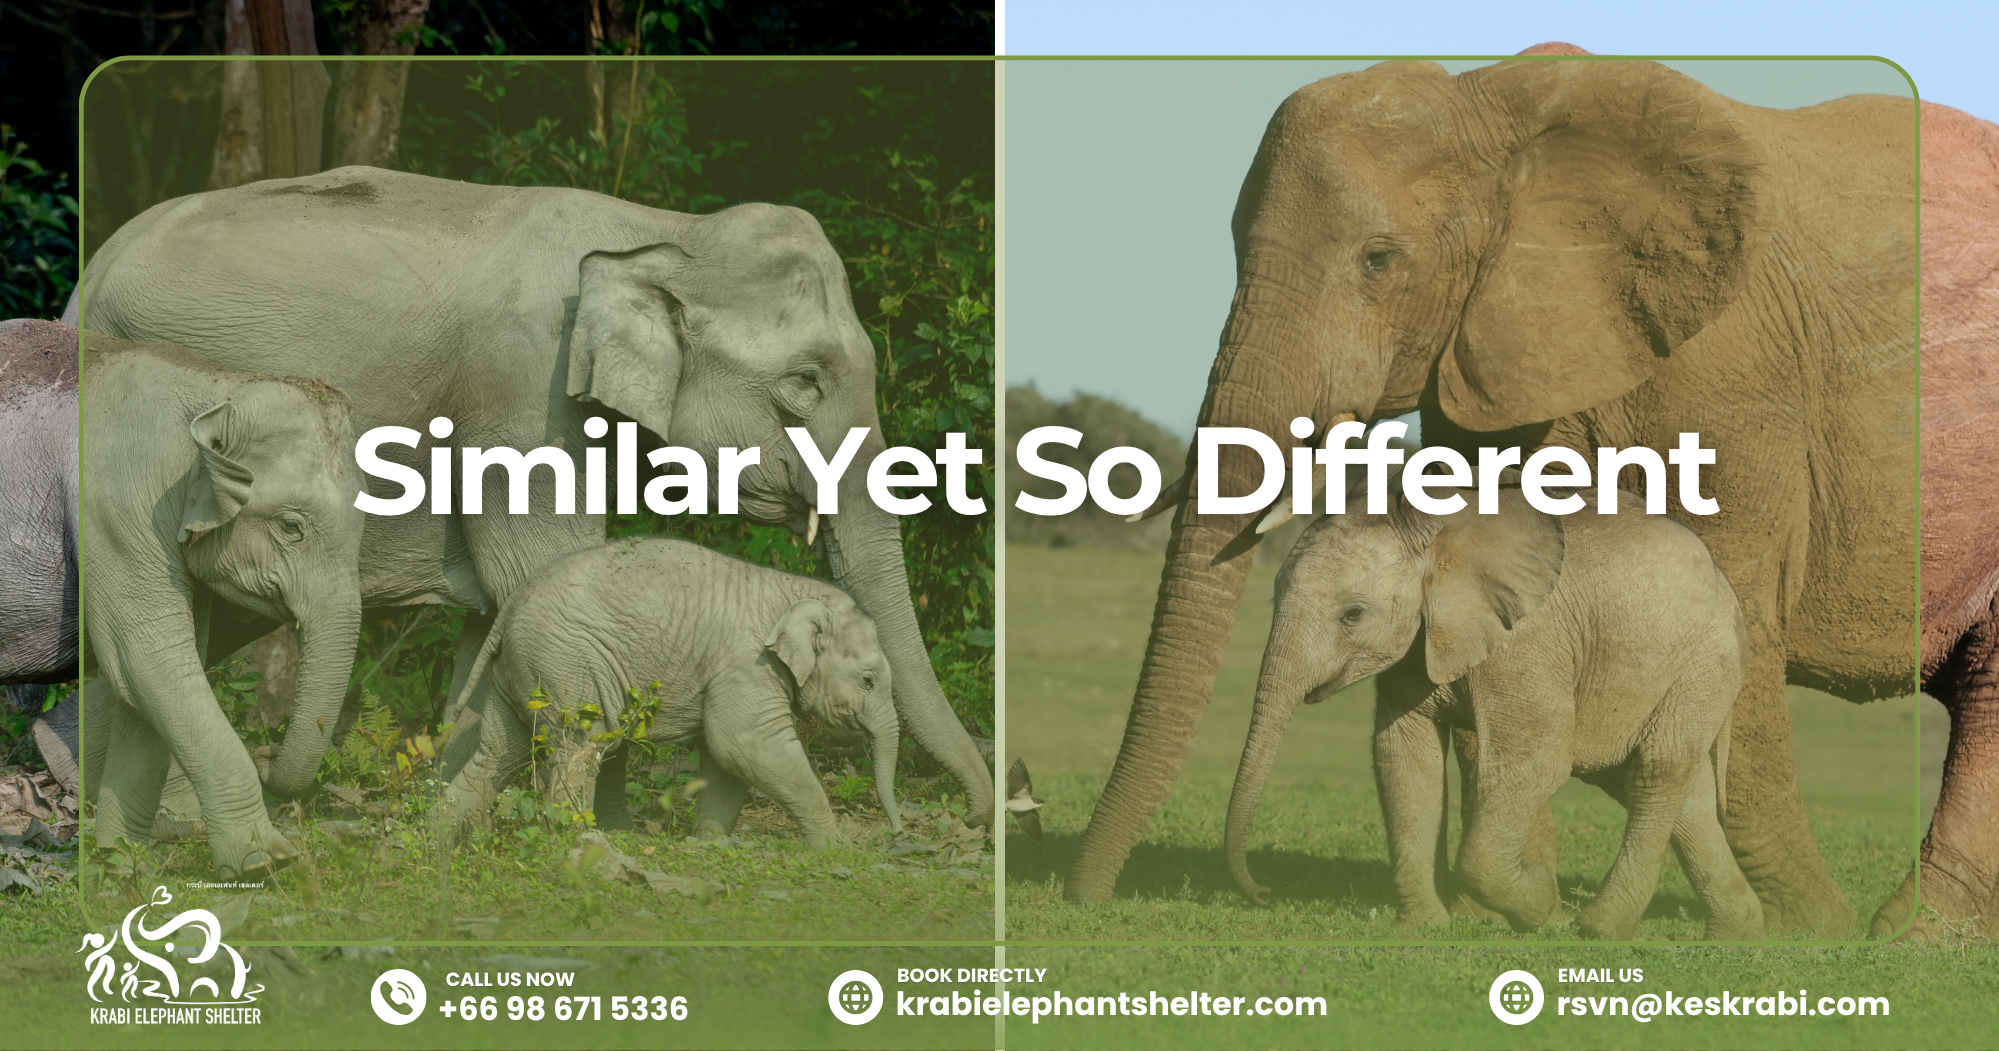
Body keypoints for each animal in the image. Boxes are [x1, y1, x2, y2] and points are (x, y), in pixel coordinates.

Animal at [83, 334, 365, 879]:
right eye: (292, 528)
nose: (266, 748)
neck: (217, 387)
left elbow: (146, 686)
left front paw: (124, 868)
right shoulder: (115, 519)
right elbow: (151, 662)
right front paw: (265, 860)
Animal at [438, 537, 902, 847]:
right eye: (868, 680)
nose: (897, 833)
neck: (794, 591)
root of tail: (508, 609)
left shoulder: (730, 673)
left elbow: (725, 758)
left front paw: (712, 844)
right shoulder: (747, 663)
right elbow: (746, 744)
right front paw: (839, 851)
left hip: (523, 671)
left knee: (500, 750)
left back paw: (443, 844)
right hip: (564, 662)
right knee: (580, 745)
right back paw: (581, 844)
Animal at [1226, 485, 1763, 940]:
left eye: (1352, 615)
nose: (1263, 894)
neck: (1437, 534)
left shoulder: (1526, 642)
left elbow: (1538, 758)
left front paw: (1540, 909)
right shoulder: (1420, 639)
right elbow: (1406, 758)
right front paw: (1426, 928)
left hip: (1703, 665)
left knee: (1656, 772)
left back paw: (1597, 929)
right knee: (1677, 793)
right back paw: (1735, 934)